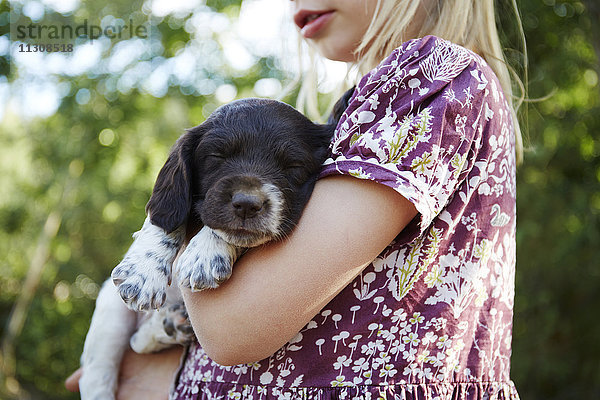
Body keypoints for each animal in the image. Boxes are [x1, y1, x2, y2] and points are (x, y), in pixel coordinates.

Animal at [78, 90, 354, 400]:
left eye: (293, 166)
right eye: (216, 157)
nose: (247, 204)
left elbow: (225, 231)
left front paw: (206, 254)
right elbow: (167, 218)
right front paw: (143, 272)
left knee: (138, 342)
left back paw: (171, 326)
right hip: (109, 315)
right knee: (99, 372)